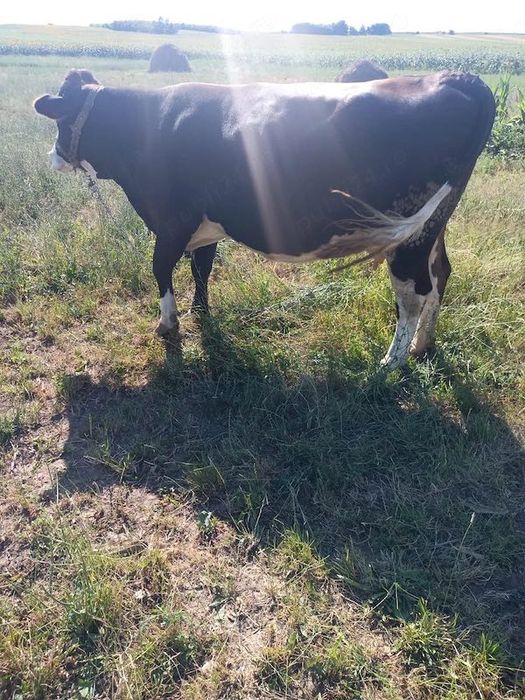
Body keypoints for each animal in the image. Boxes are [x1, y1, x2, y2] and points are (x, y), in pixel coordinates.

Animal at [34, 68, 495, 369]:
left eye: (59, 115)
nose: (52, 156)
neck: (146, 126)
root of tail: (457, 78)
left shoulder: (172, 220)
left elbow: (160, 268)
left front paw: (167, 325)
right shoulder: (203, 225)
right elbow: (202, 267)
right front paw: (201, 312)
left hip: (410, 232)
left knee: (413, 293)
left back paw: (391, 362)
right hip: (435, 224)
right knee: (440, 275)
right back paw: (421, 347)